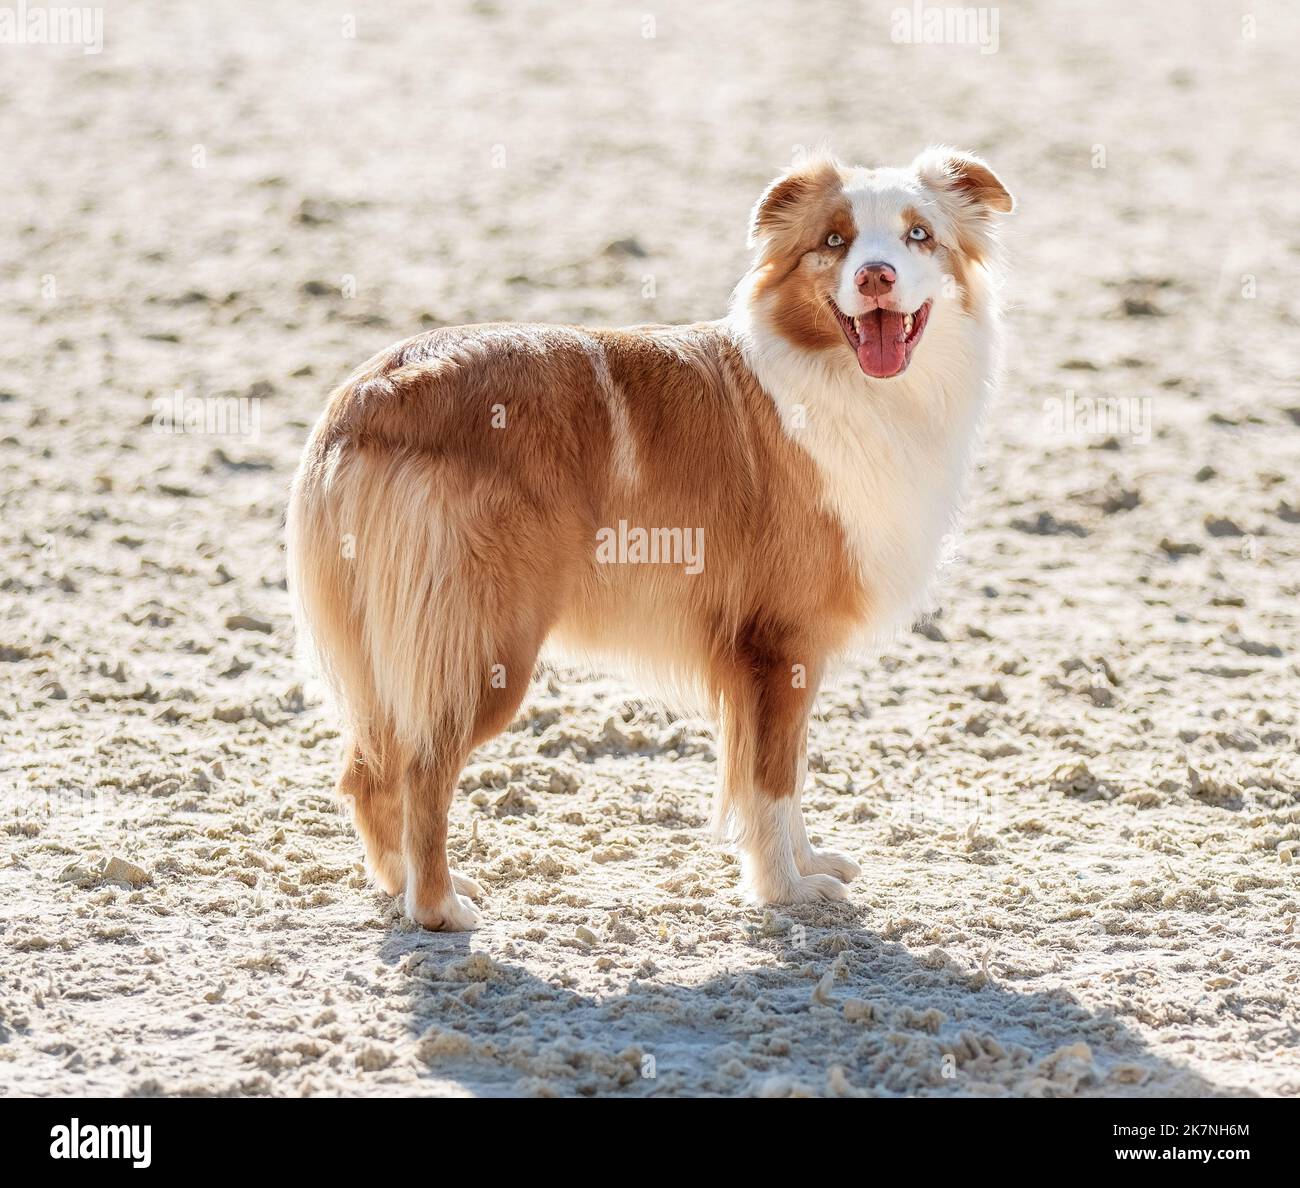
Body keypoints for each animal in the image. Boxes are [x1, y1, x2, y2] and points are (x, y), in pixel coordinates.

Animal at [287, 145, 1013, 925]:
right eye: (833, 241)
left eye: (919, 235)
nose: (875, 276)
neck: (847, 380)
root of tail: (370, 390)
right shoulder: (778, 645)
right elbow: (771, 782)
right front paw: (785, 891)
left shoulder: (782, 657)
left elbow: (783, 776)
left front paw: (808, 863)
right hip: (483, 645)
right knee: (422, 769)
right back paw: (439, 907)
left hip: (388, 653)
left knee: (368, 772)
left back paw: (397, 888)